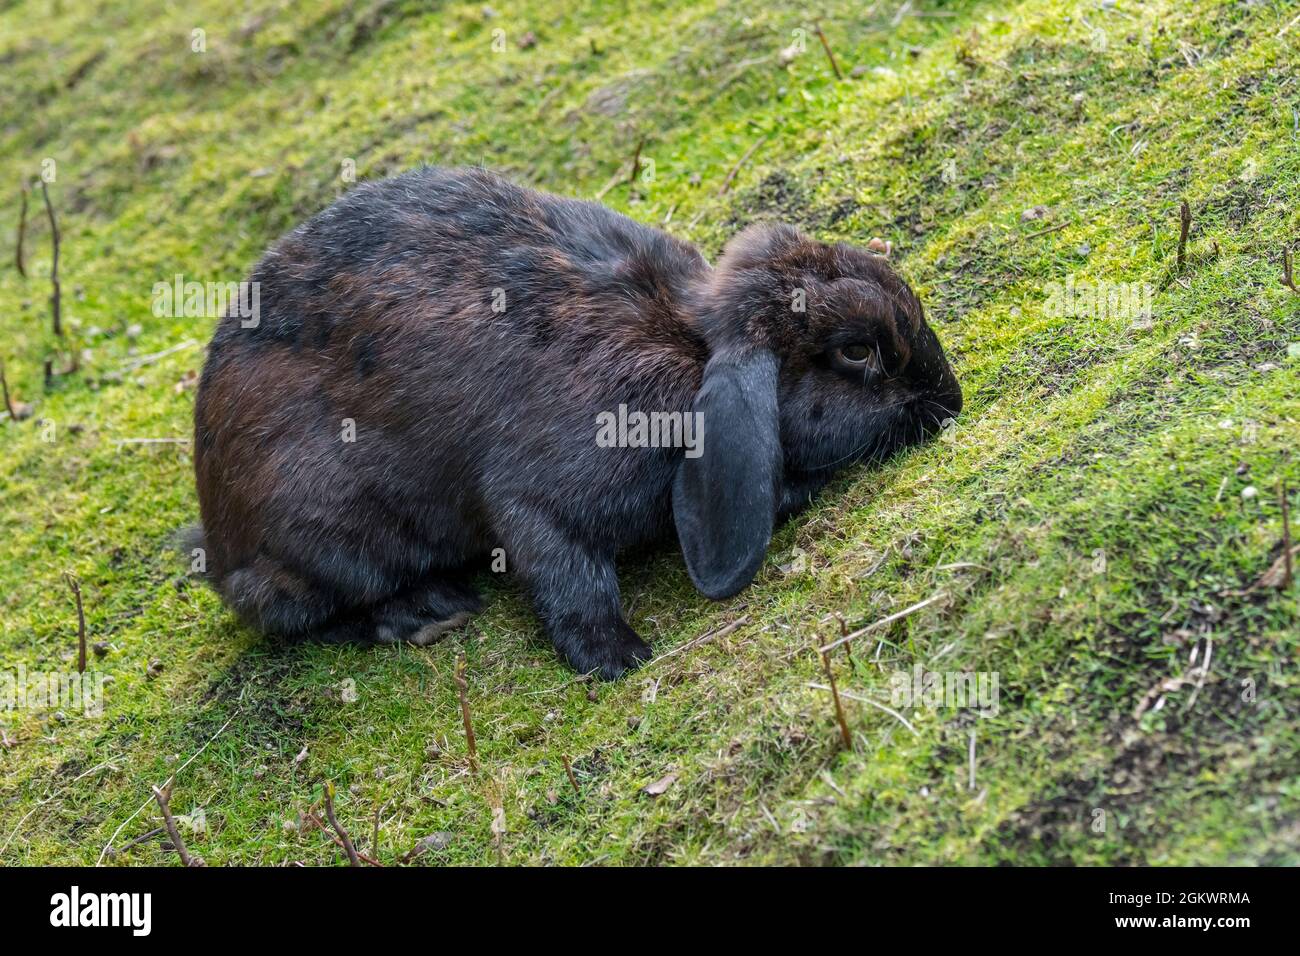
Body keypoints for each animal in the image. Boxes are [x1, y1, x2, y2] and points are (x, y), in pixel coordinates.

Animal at [195, 164, 967, 676]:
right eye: (857, 351)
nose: (951, 401)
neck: (691, 351)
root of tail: (218, 542)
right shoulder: (540, 500)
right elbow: (567, 575)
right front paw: (618, 658)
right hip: (324, 529)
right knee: (299, 610)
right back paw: (426, 611)